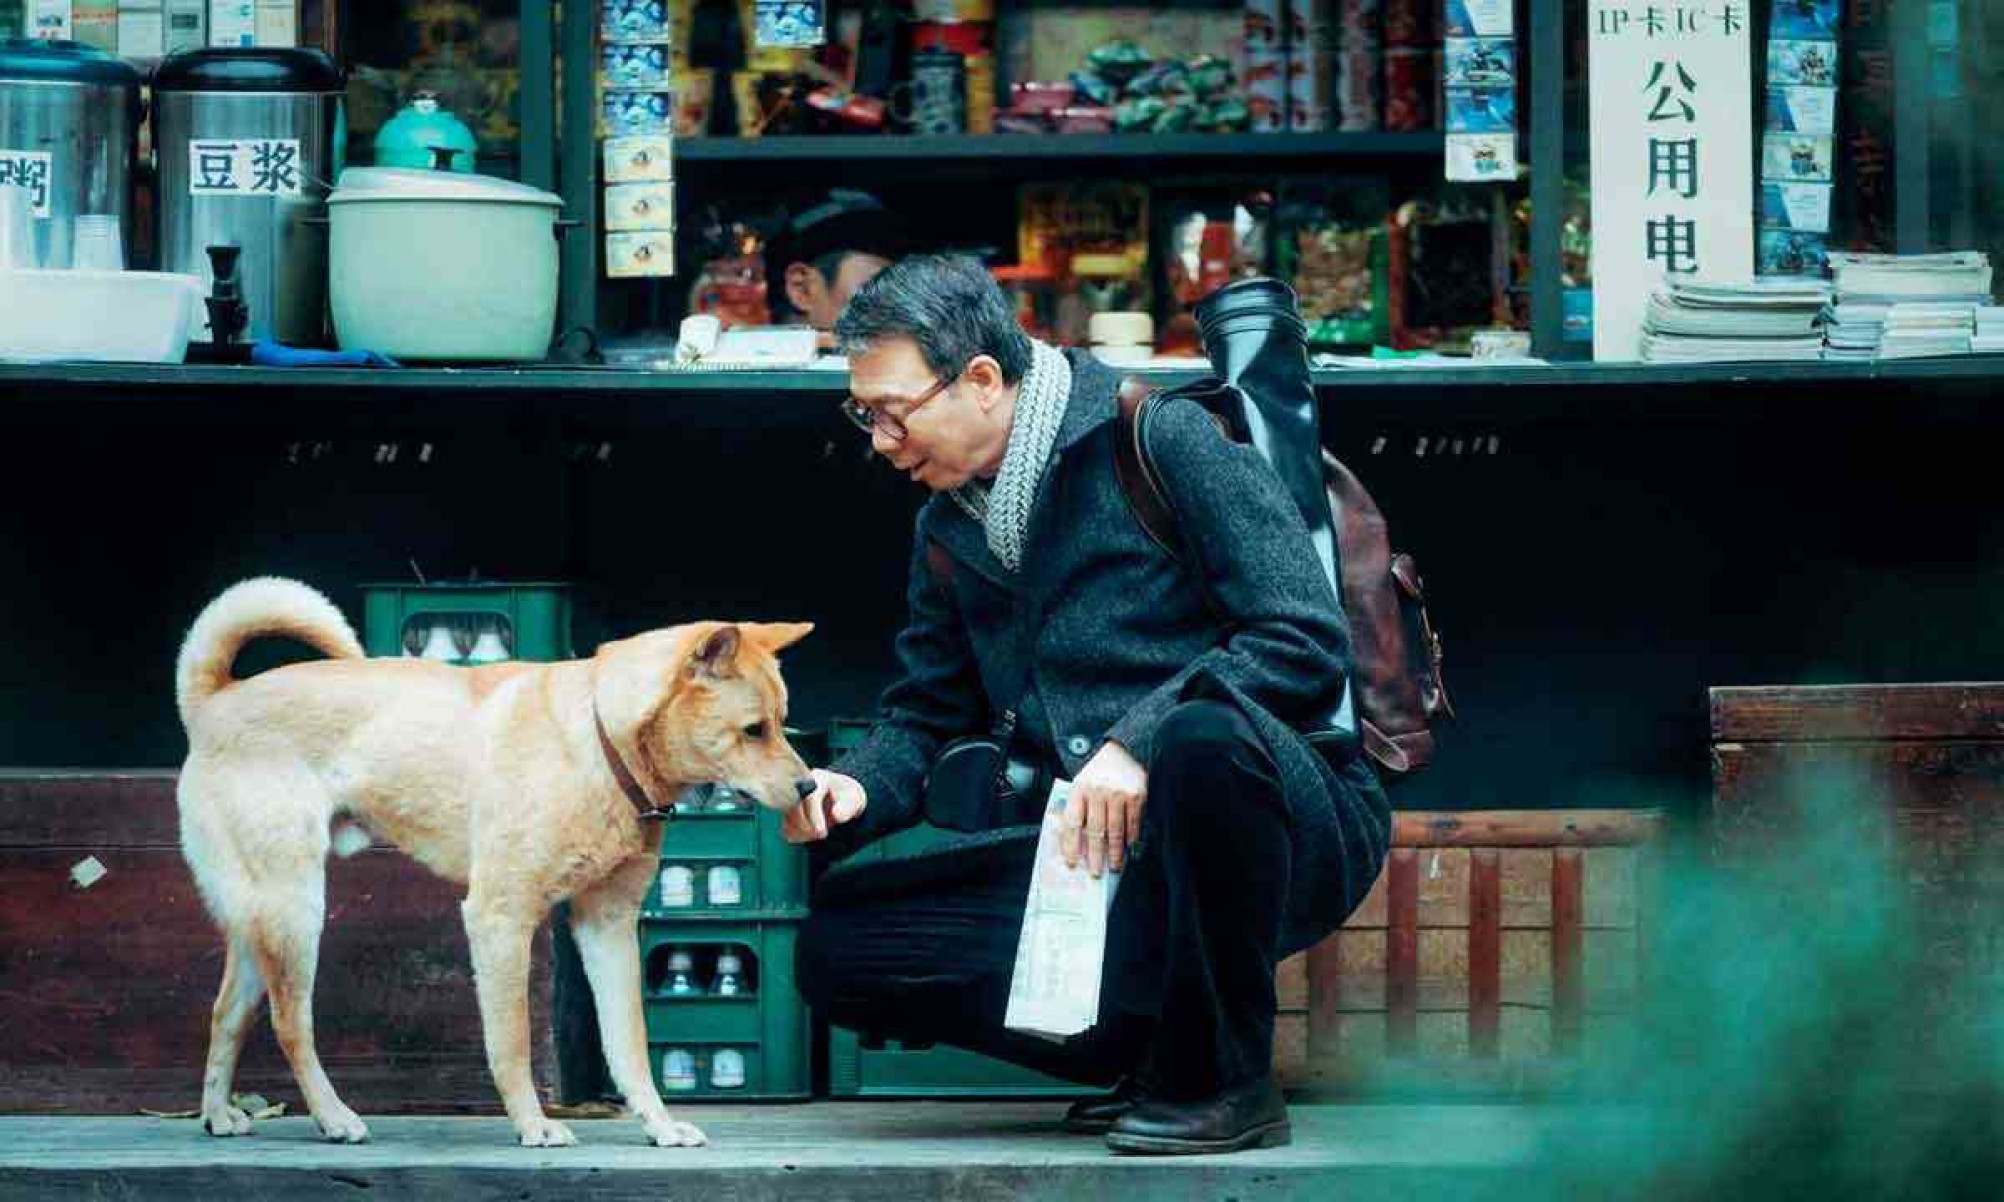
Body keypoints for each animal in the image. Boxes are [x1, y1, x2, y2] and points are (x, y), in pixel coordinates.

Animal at [172, 576, 813, 1153]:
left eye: (782, 723)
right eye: (754, 730)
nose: (810, 786)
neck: (598, 740)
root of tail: (214, 700)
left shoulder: (607, 925)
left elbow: (629, 1043)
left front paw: (659, 1126)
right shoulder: (500, 917)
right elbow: (512, 1042)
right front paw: (534, 1126)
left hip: (260, 920)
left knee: (224, 1013)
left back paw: (217, 1115)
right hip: (296, 912)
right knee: (290, 1026)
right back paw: (334, 1118)